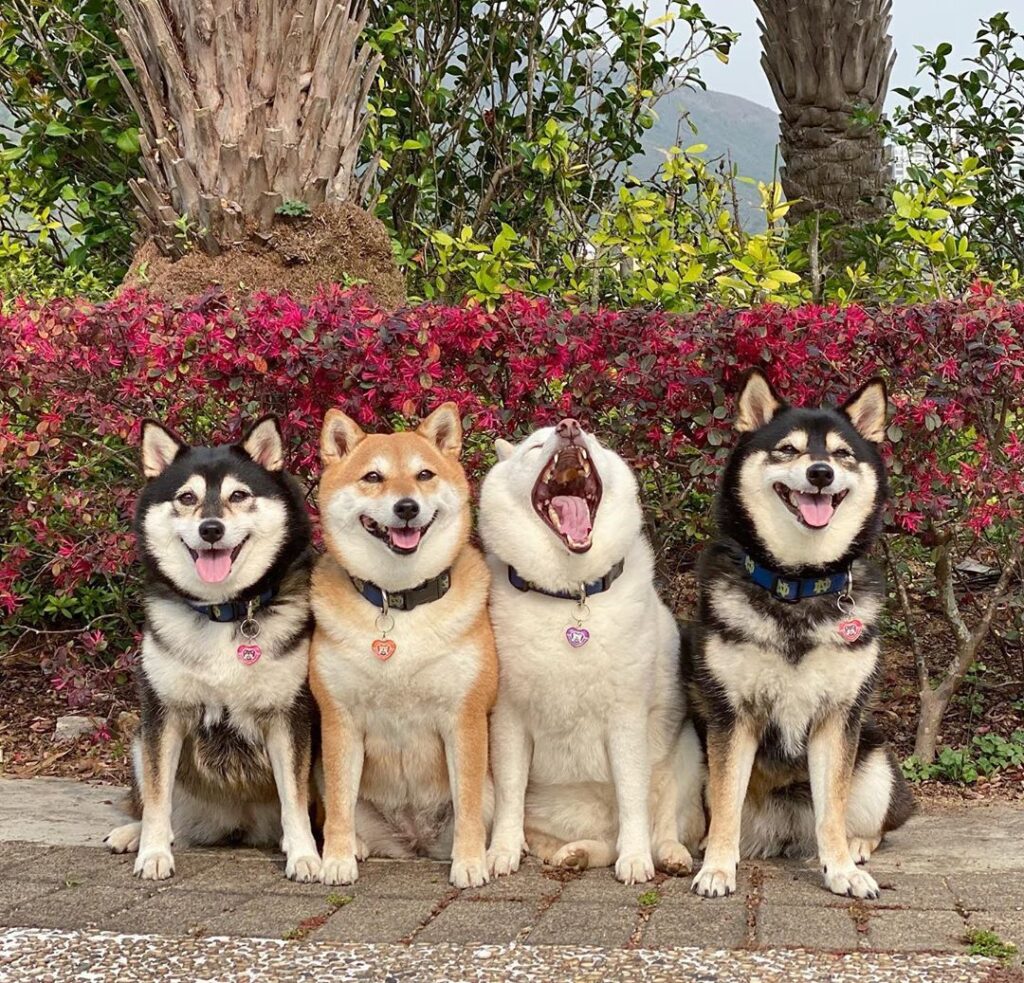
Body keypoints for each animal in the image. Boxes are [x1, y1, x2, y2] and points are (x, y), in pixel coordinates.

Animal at [307, 403, 495, 888]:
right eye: (373, 477)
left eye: (424, 474)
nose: (406, 506)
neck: (399, 600)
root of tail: (413, 842)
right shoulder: (339, 718)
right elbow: (339, 804)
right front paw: (336, 860)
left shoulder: (464, 717)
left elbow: (468, 804)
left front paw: (470, 862)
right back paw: (356, 845)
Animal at [479, 417, 704, 888]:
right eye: (535, 447)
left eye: (596, 441)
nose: (569, 425)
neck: (571, 593)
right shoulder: (508, 719)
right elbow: (509, 794)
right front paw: (501, 851)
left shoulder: (626, 720)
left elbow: (634, 798)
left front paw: (636, 859)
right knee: (591, 843)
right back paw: (575, 853)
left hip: (686, 755)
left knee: (664, 825)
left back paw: (668, 855)